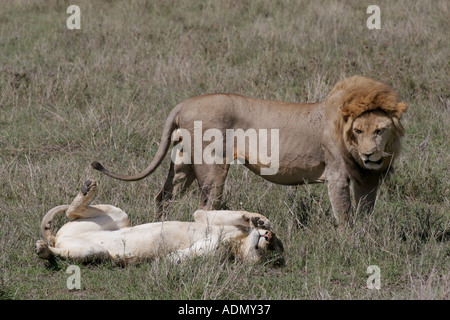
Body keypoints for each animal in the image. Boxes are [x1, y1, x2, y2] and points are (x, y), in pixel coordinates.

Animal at [35, 180, 284, 264]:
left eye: (271, 249)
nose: (268, 236)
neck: (239, 241)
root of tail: (58, 237)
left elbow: (173, 259)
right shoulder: (203, 218)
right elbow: (204, 213)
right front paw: (257, 219)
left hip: (96, 252)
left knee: (61, 250)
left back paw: (42, 249)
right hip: (119, 215)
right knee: (71, 212)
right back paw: (88, 187)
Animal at [92, 75, 408, 226]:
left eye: (380, 130)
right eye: (358, 131)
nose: (369, 155)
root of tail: (184, 103)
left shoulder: (368, 179)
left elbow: (365, 212)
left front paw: (364, 239)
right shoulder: (337, 175)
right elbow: (344, 214)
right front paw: (347, 242)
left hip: (183, 163)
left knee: (163, 196)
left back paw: (160, 230)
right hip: (212, 168)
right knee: (205, 207)